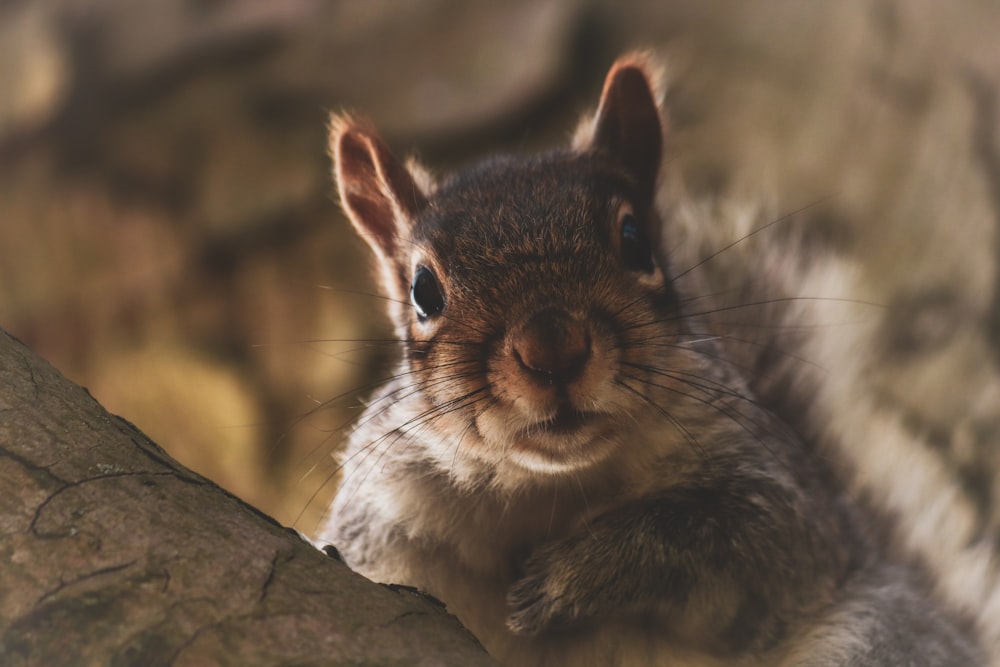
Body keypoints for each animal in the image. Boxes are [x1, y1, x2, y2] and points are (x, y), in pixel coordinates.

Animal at [318, 54, 984, 664]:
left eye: (635, 240)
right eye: (422, 292)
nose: (552, 349)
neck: (554, 486)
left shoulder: (784, 504)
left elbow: (721, 540)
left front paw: (572, 578)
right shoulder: (385, 515)